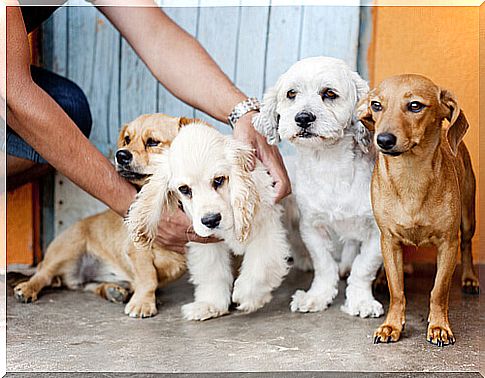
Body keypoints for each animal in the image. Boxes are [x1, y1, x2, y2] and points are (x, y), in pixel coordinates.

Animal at [14, 113, 190, 318]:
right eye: (127, 140)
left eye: (153, 142)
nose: (120, 155)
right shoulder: (138, 250)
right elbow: (148, 278)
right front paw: (142, 304)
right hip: (67, 249)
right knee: (43, 275)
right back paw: (27, 289)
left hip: (92, 278)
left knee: (92, 286)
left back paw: (113, 290)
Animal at [126, 122, 290, 320]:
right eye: (184, 189)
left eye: (219, 180)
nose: (211, 220)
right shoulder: (205, 241)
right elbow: (212, 271)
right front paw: (210, 305)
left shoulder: (266, 227)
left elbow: (261, 267)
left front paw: (248, 296)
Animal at [358, 74, 478, 346]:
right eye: (376, 105)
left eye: (415, 105)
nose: (383, 140)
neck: (410, 175)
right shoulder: (389, 240)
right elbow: (397, 290)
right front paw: (392, 325)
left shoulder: (448, 243)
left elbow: (438, 291)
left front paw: (439, 326)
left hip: (468, 220)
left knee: (467, 246)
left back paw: (469, 278)